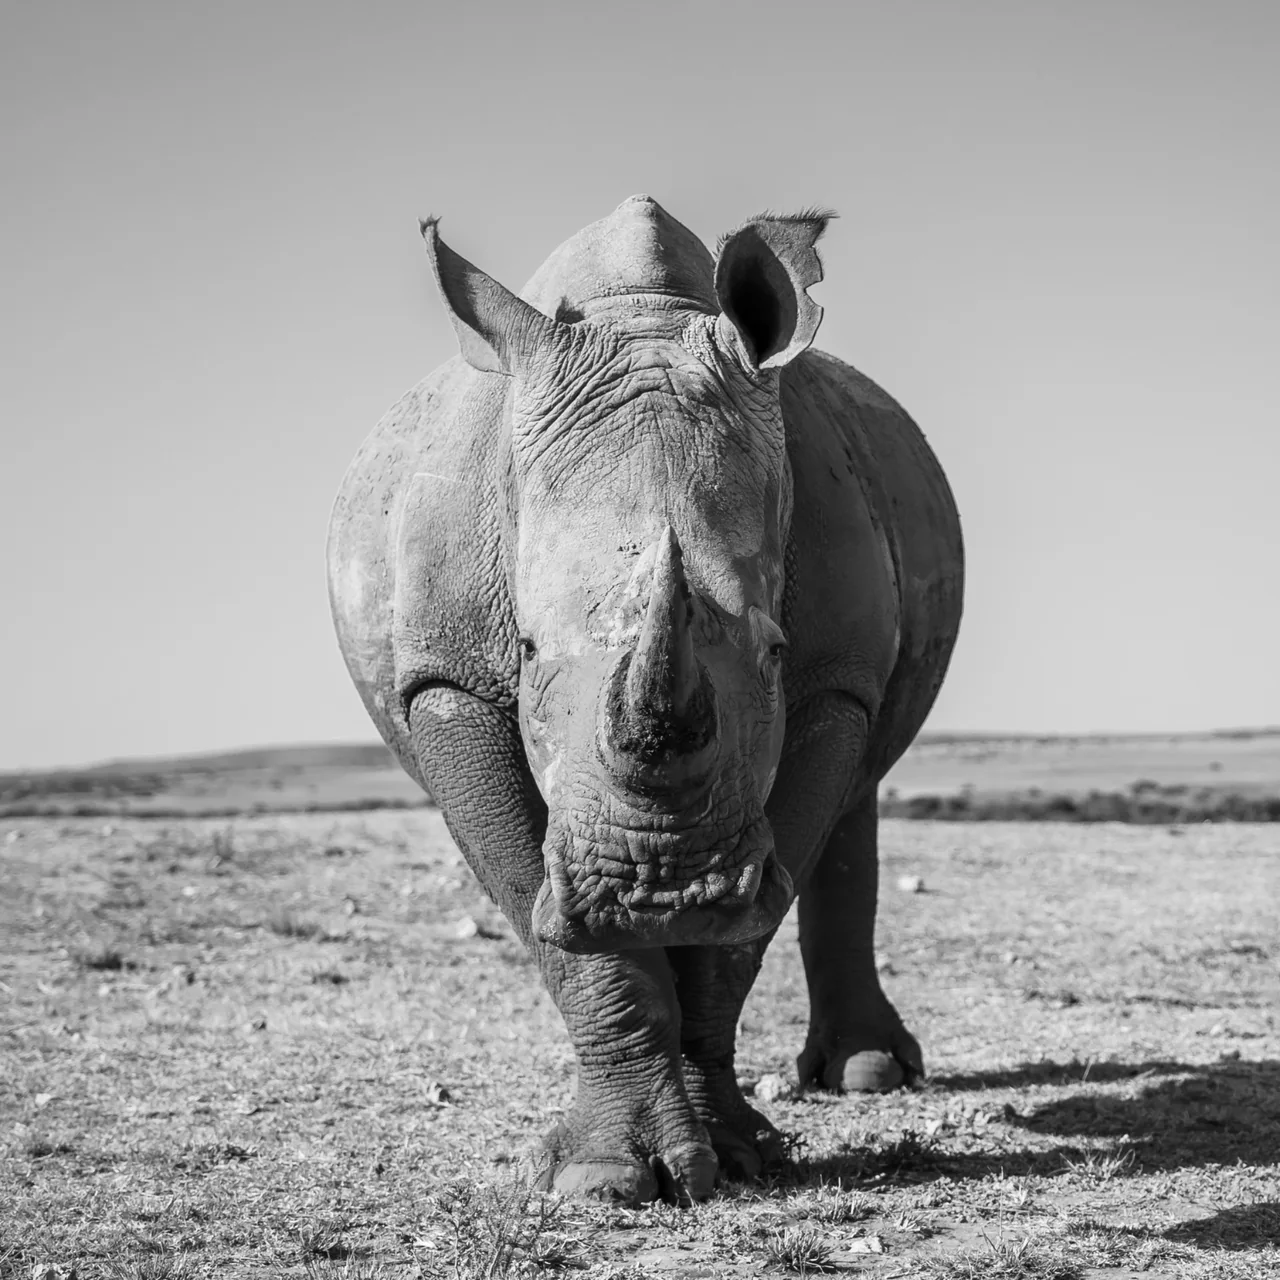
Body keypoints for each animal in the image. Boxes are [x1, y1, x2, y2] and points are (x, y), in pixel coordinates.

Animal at [327, 195, 963, 1204]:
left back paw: (867, 1078)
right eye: (528, 650)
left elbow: (738, 939)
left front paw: (733, 1156)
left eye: (774, 650)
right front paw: (601, 1179)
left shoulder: (833, 678)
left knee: (857, 789)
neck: (640, 317)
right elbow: (547, 917)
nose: (659, 889)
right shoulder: (445, 679)